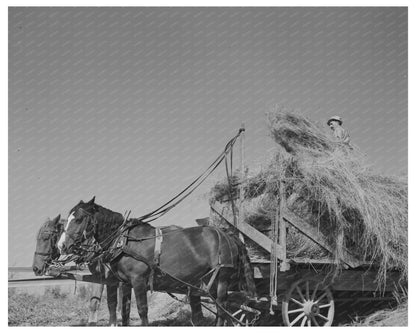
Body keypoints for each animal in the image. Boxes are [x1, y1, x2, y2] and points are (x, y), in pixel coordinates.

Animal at [58, 197, 256, 324]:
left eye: (79, 219)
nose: (61, 246)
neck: (124, 241)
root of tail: (229, 235)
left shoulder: (138, 281)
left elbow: (142, 311)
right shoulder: (125, 283)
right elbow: (125, 312)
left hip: (222, 277)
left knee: (222, 309)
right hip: (208, 281)